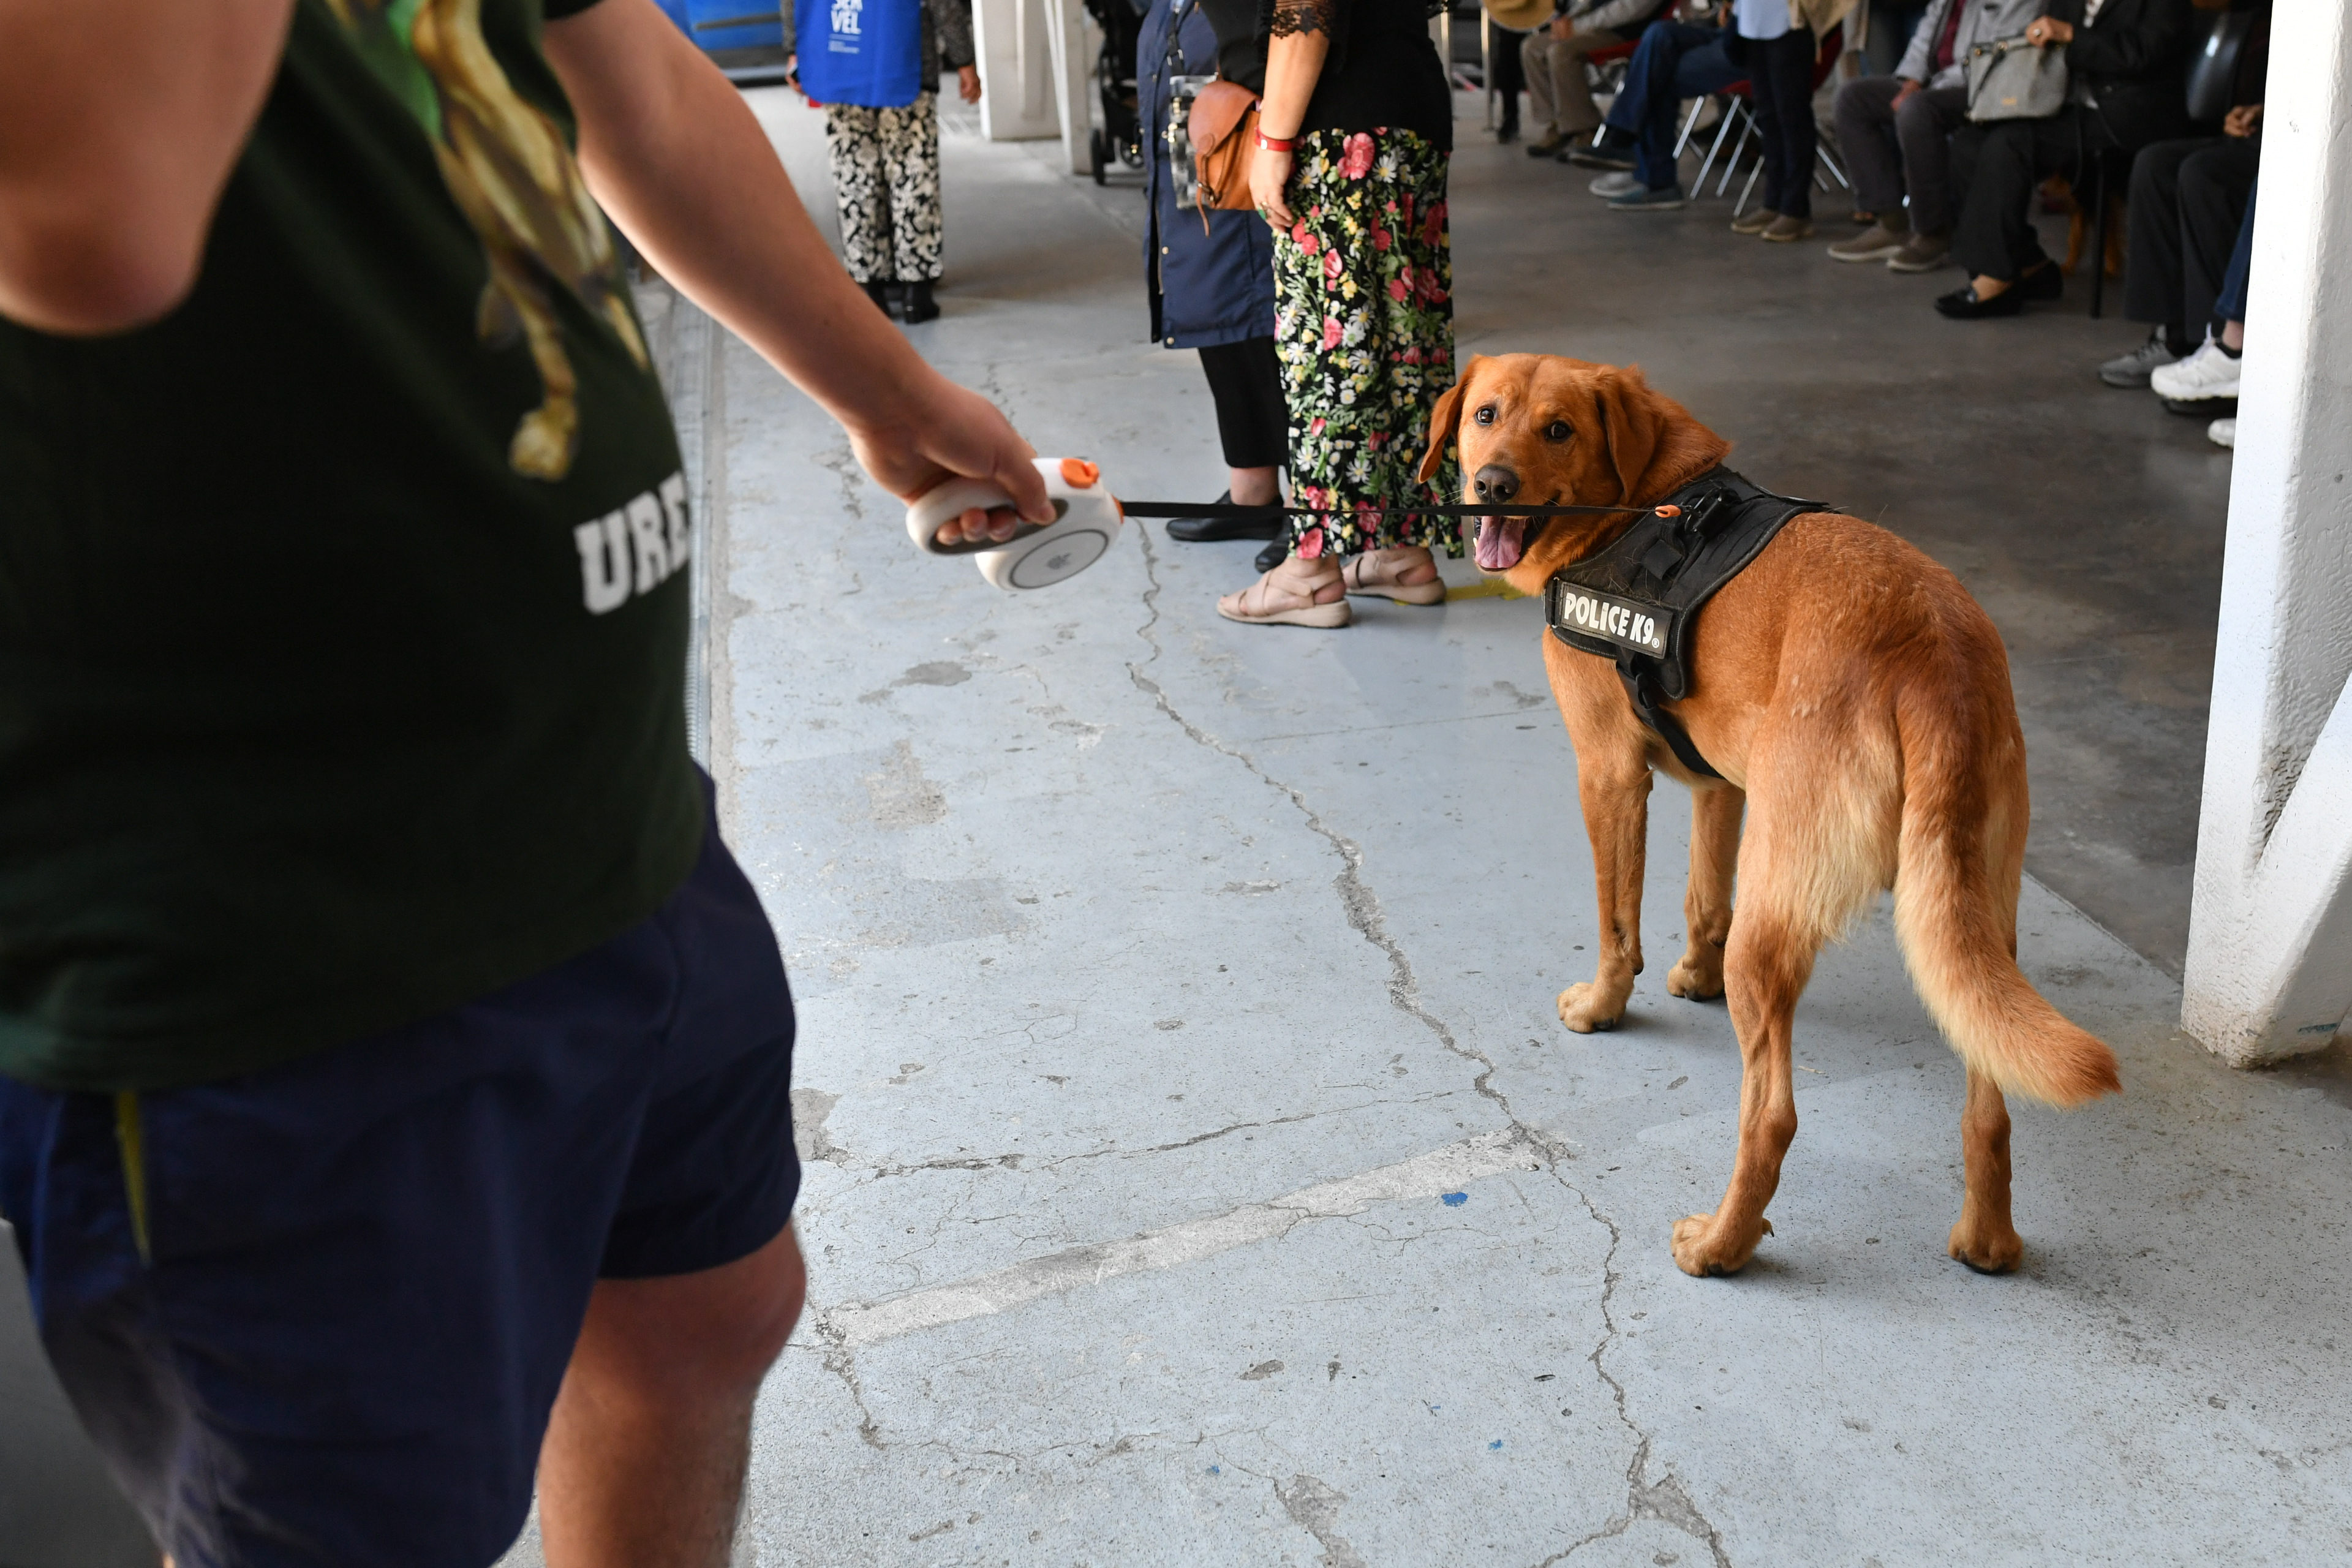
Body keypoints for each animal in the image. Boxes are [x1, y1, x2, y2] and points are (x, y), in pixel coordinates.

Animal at [1420, 354, 2119, 1278]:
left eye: (1559, 429)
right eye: (1486, 415)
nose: (1491, 484)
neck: (1639, 501)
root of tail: (1932, 657)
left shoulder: (1608, 776)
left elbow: (1617, 921)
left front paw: (1606, 1005)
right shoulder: (1722, 784)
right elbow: (1701, 897)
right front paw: (1695, 975)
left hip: (1778, 922)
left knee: (1774, 1115)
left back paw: (1722, 1245)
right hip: (1973, 915)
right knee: (1989, 1099)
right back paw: (1988, 1240)